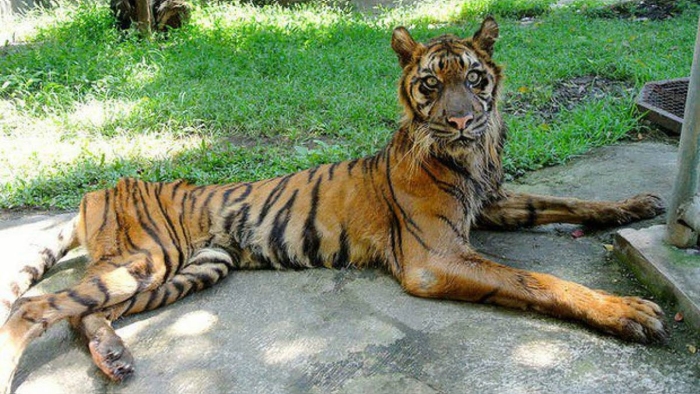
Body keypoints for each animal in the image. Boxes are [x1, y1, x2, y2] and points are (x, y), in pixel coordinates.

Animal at [0, 16, 668, 390]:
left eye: (475, 78)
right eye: (432, 84)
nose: (461, 122)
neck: (472, 159)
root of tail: (96, 190)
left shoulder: (494, 203)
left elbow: (565, 199)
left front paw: (635, 204)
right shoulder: (436, 257)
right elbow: (536, 280)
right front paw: (629, 311)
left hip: (192, 268)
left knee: (81, 313)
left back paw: (114, 357)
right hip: (147, 259)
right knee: (34, 308)